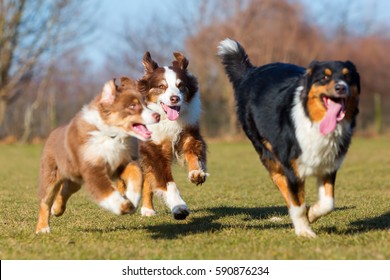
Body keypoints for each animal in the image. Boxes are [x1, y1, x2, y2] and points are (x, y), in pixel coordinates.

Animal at [35, 77, 159, 234]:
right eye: (132, 106)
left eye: (145, 103)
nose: (158, 115)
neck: (112, 136)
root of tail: (53, 133)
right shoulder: (92, 168)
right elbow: (106, 192)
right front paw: (124, 206)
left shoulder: (123, 162)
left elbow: (136, 174)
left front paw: (132, 197)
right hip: (51, 174)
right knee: (45, 200)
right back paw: (42, 228)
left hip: (75, 179)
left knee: (66, 190)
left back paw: (57, 210)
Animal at [136, 51, 207, 220]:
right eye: (162, 86)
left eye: (181, 85)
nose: (175, 98)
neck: (168, 120)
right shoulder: (154, 149)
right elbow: (167, 182)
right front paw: (179, 207)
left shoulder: (189, 133)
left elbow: (193, 153)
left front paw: (196, 173)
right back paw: (147, 209)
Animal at [218, 38, 362, 237]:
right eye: (324, 77)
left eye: (348, 77)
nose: (341, 87)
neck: (314, 122)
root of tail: (251, 71)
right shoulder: (293, 168)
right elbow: (298, 204)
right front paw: (304, 231)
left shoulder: (328, 164)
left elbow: (327, 204)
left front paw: (311, 214)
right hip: (266, 152)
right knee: (280, 181)